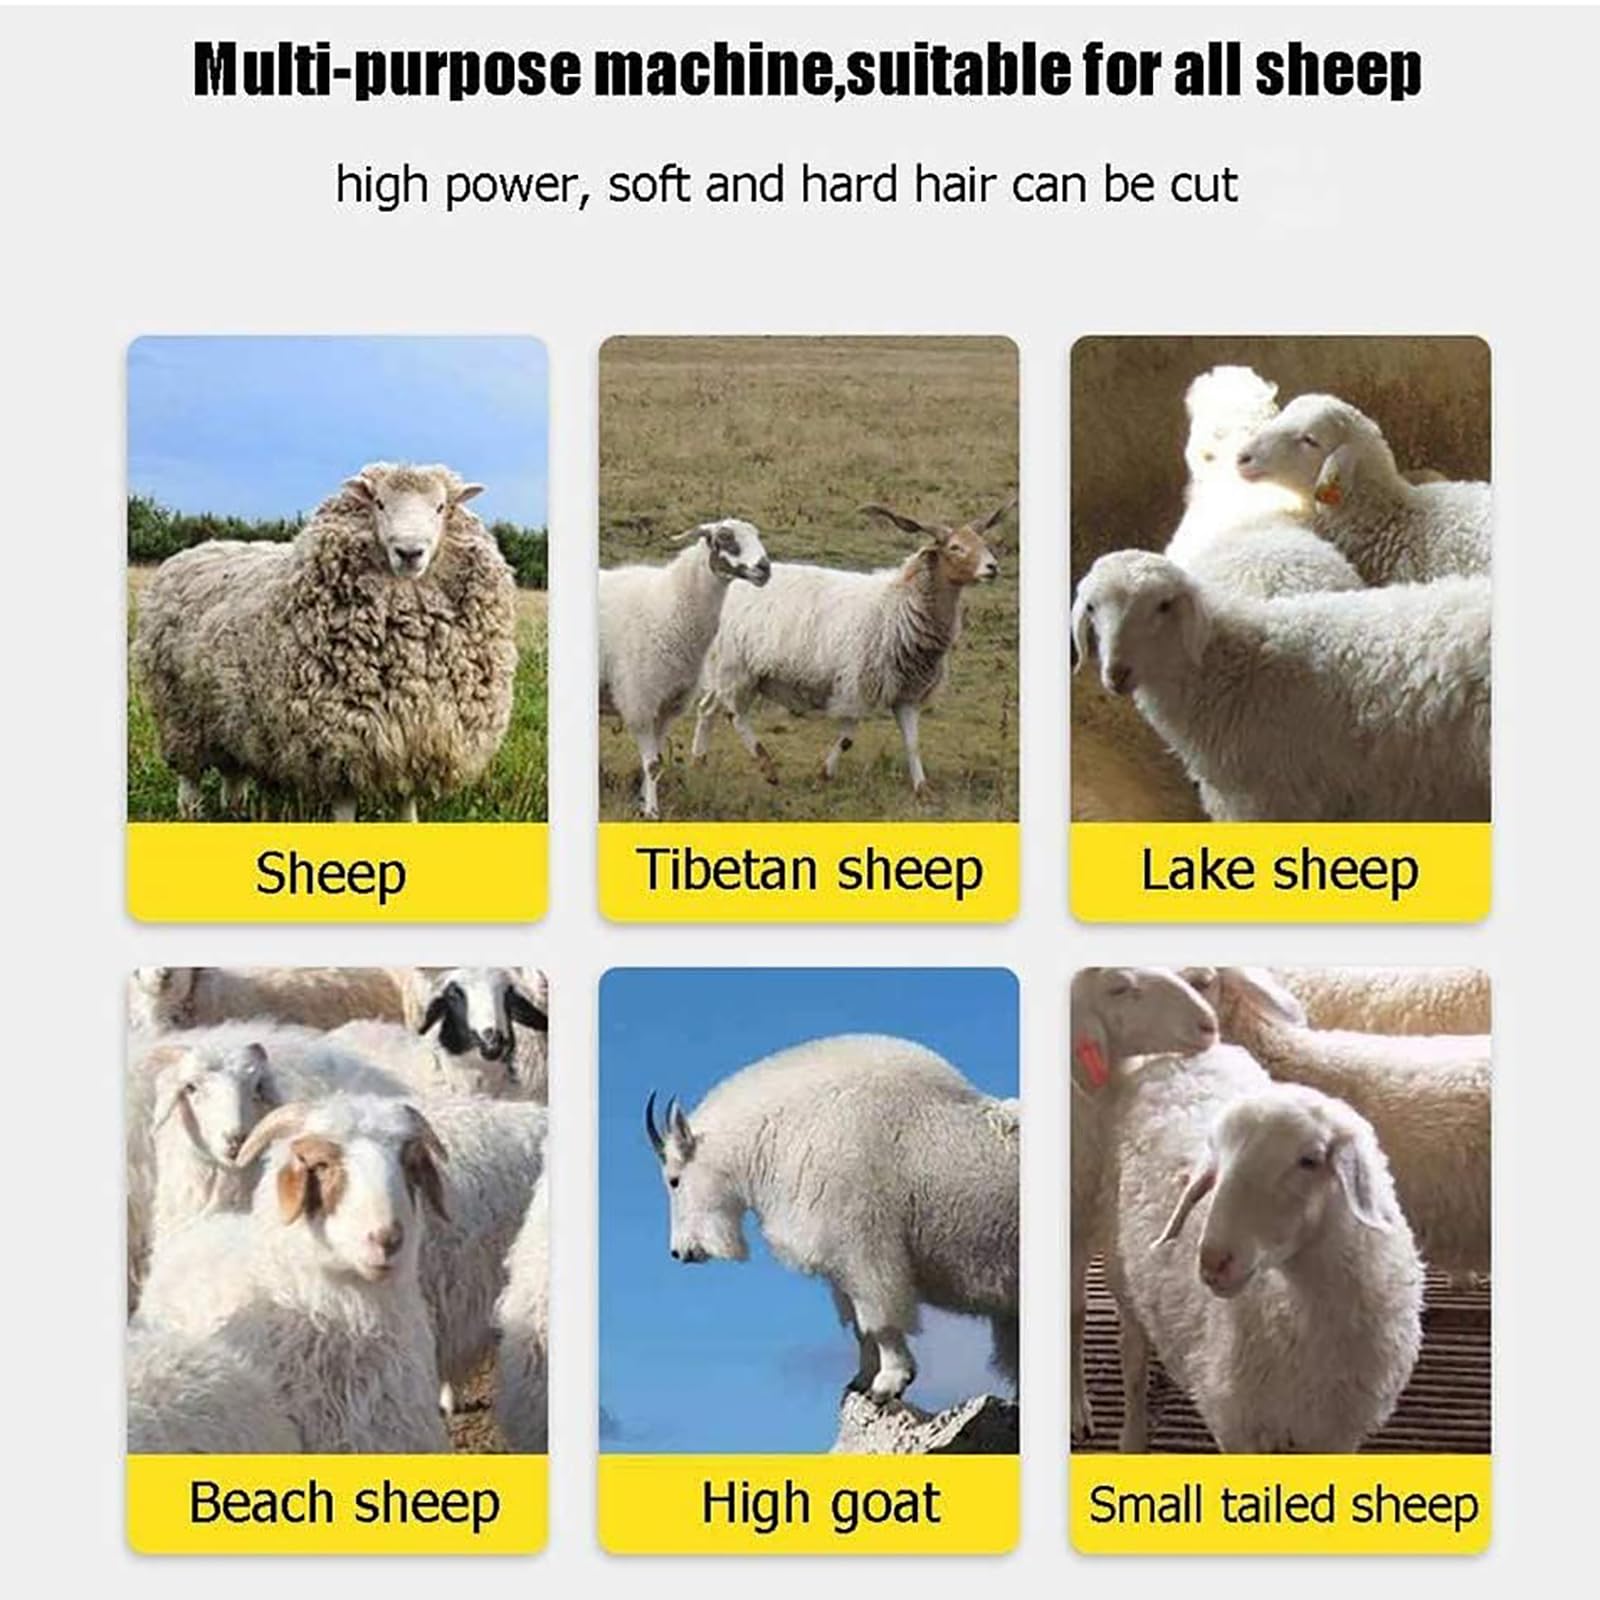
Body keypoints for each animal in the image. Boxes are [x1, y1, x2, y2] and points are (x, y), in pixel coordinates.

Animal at [132, 461, 518, 821]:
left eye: (440, 507)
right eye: (379, 503)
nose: (410, 552)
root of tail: (197, 549)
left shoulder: (416, 737)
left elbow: (405, 803)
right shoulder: (339, 744)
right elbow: (345, 808)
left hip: (231, 715)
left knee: (233, 768)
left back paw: (236, 808)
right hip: (180, 710)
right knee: (190, 773)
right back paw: (190, 811)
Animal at [599, 519, 772, 819]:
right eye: (724, 537)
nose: (765, 568)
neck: (669, 607)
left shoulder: (667, 705)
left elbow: (655, 761)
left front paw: (643, 803)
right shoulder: (639, 702)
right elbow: (653, 764)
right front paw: (652, 812)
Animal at [645, 1033, 1017, 1404]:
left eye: (674, 1180)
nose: (681, 1252)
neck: (782, 1132)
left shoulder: (865, 1249)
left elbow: (878, 1320)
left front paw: (889, 1382)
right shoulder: (840, 1264)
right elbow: (858, 1327)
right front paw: (861, 1380)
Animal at [691, 499, 1011, 796]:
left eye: (984, 543)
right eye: (955, 547)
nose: (992, 568)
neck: (898, 605)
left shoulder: (907, 692)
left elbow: (913, 742)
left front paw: (922, 789)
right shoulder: (858, 686)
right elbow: (847, 740)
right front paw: (824, 775)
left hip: (725, 668)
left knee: (708, 707)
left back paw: (699, 760)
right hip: (736, 666)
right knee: (735, 716)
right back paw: (767, 766)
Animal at [1097, 1049, 1423, 1452]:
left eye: (1310, 1160)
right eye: (1216, 1164)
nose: (1213, 1262)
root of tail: (1170, 1056)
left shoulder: (1336, 1429)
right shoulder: (1235, 1421)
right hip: (1120, 1270)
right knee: (1133, 1358)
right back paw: (1132, 1437)